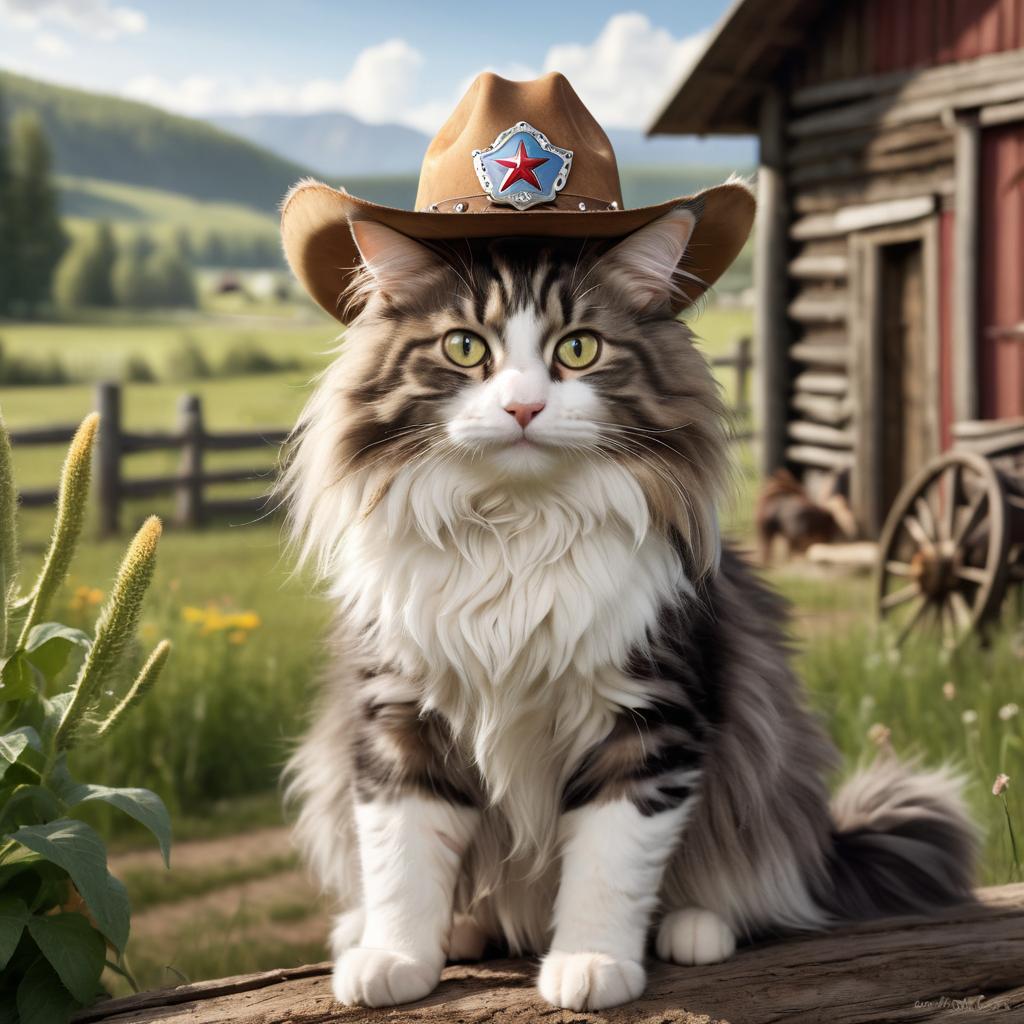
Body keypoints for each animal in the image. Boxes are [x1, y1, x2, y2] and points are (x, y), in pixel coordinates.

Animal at [282, 195, 974, 1011]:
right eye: (464, 347)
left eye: (578, 349)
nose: (523, 407)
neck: (517, 529)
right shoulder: (398, 714)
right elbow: (401, 856)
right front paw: (395, 958)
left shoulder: (650, 716)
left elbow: (608, 863)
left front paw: (591, 964)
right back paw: (442, 930)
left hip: (768, 768)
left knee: (760, 883)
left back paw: (698, 928)